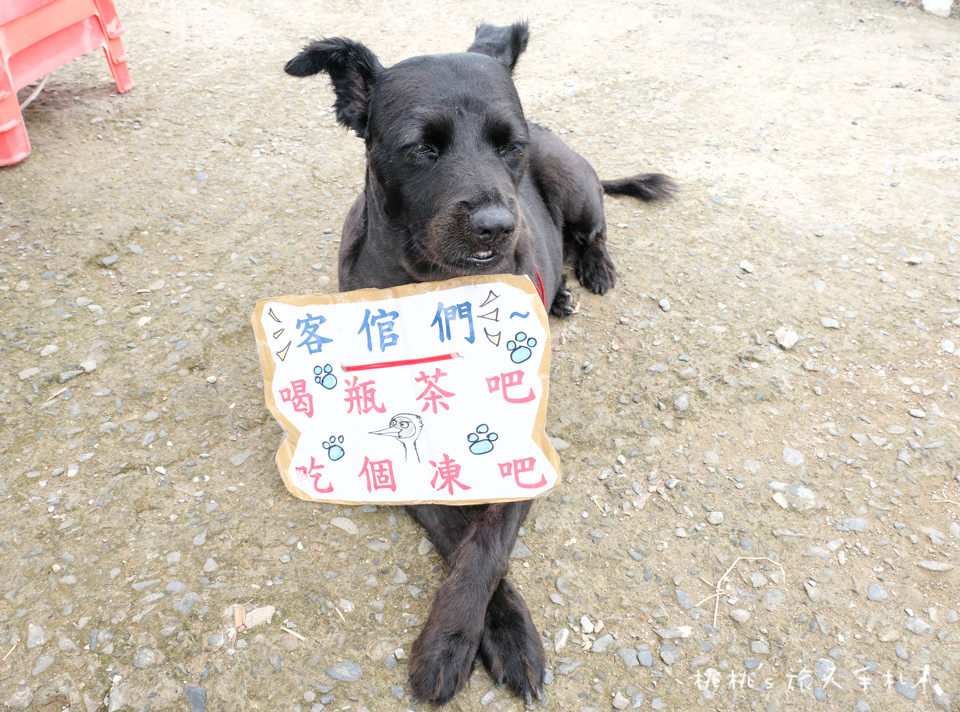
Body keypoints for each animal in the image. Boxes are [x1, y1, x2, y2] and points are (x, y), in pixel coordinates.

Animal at [284, 22, 676, 708]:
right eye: (421, 148)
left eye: (508, 146)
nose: (497, 225)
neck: (440, 294)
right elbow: (458, 533)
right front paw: (468, 639)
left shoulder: (525, 438)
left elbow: (488, 543)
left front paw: (477, 640)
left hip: (576, 187)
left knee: (595, 231)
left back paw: (590, 273)